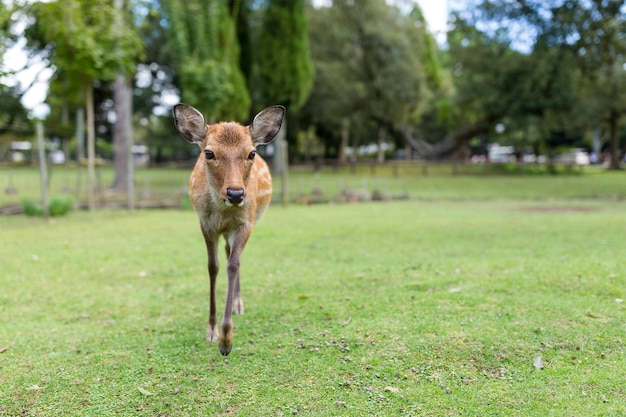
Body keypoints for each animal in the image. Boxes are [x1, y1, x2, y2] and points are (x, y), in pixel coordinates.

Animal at [173, 103, 286, 354]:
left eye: (251, 153)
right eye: (208, 153)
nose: (236, 193)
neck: (223, 211)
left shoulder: (246, 222)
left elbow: (233, 265)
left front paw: (226, 340)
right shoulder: (205, 223)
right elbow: (213, 267)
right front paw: (212, 331)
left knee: (233, 257)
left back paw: (238, 304)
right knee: (225, 253)